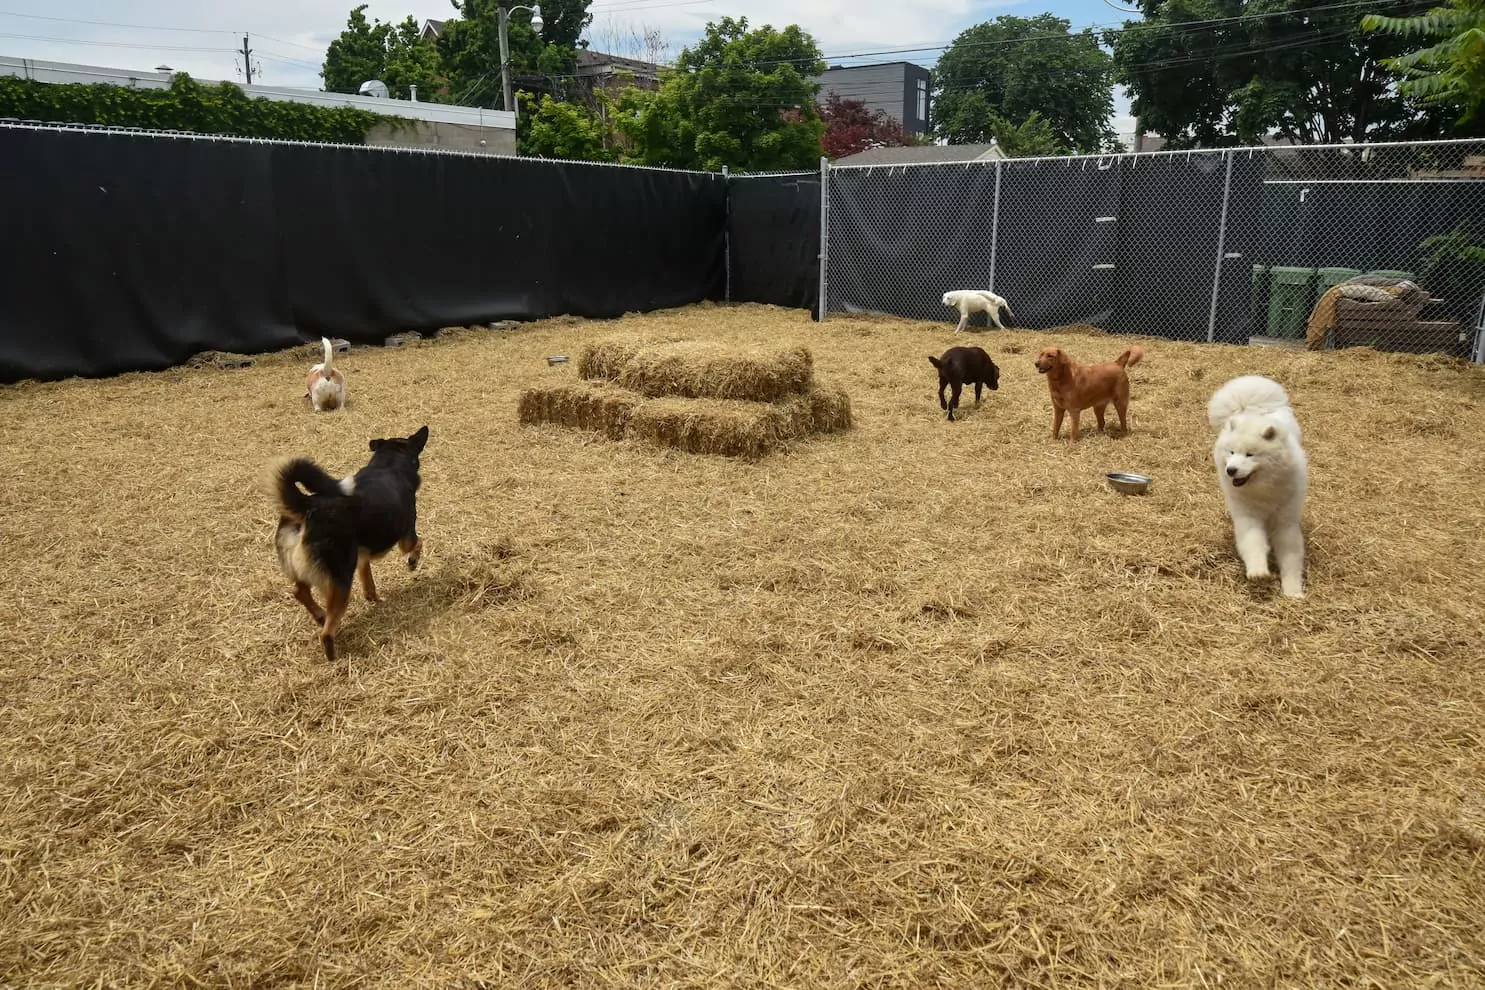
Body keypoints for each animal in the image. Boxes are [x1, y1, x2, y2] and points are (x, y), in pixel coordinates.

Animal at [273, 424, 430, 661]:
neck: (388, 465)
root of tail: (307, 506)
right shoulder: (407, 535)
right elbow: (419, 544)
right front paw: (412, 562)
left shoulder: (362, 556)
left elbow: (368, 580)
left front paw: (373, 598)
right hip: (340, 578)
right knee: (326, 632)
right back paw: (333, 656)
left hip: (306, 567)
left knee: (299, 592)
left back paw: (319, 615)